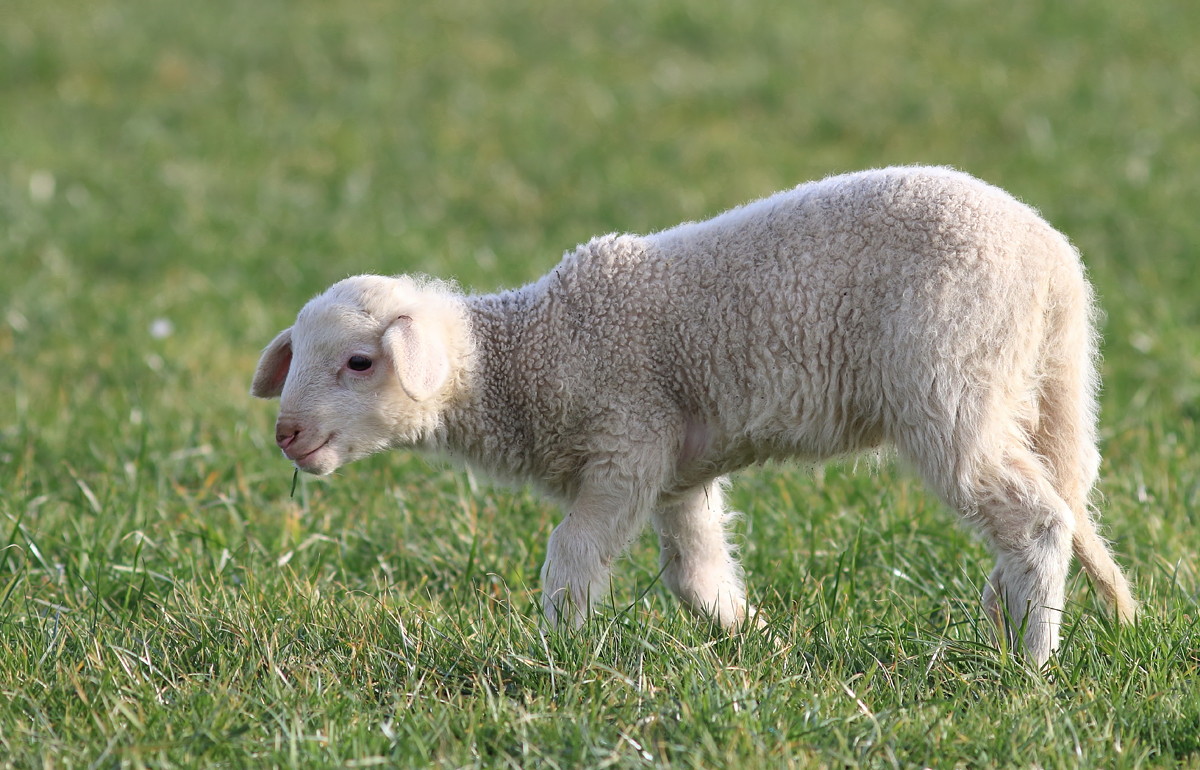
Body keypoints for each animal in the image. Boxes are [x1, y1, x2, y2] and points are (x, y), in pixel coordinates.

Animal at [251, 165, 1137, 666]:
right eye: (296, 357)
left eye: (360, 362)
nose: (286, 434)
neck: (529, 356)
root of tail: (1055, 263)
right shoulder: (678, 475)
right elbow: (697, 576)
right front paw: (760, 646)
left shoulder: (627, 443)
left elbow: (573, 557)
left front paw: (555, 657)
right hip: (1042, 382)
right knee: (1065, 495)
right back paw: (1041, 617)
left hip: (951, 383)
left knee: (1036, 519)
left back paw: (1031, 665)